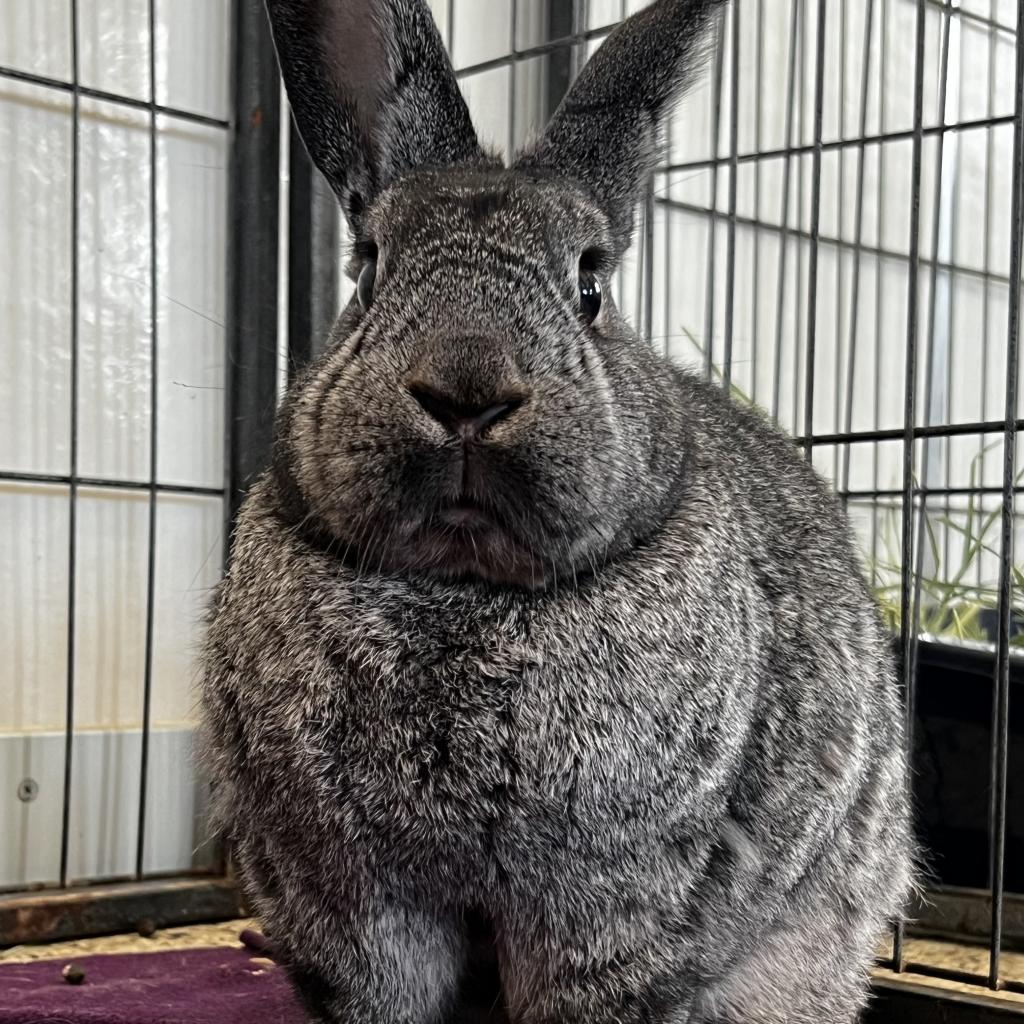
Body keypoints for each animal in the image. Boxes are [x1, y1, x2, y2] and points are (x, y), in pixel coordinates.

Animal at [199, 2, 913, 1024]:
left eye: (591, 287)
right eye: (369, 271)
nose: (466, 389)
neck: (464, 588)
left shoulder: (610, 904)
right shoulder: (354, 904)